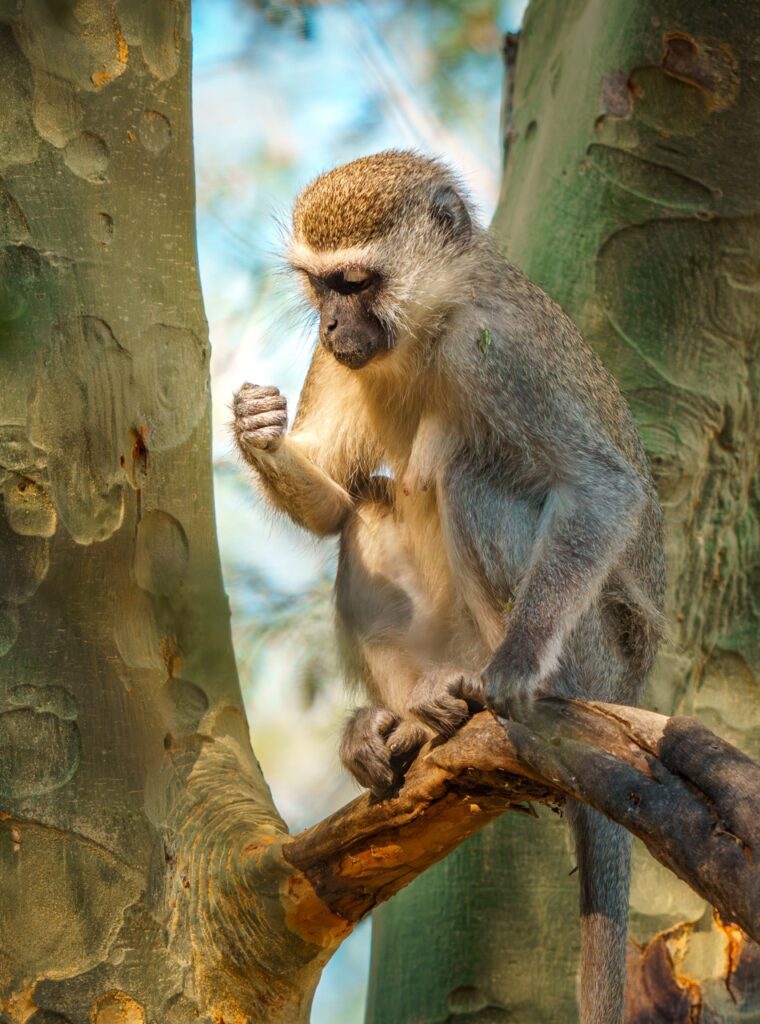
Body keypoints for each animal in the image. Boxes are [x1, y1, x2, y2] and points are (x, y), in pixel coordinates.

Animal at [232, 150, 665, 1024]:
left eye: (357, 283)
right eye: (321, 288)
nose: (332, 329)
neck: (426, 328)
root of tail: (630, 686)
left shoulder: (502, 352)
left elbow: (602, 490)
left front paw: (519, 663)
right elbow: (332, 501)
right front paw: (256, 429)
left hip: (596, 656)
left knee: (468, 475)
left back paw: (482, 695)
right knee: (368, 506)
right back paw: (409, 720)